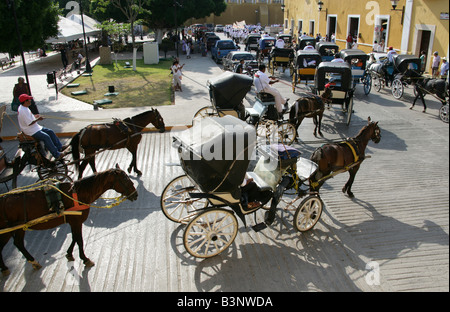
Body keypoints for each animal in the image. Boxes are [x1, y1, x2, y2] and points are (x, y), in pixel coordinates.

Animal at [0, 167, 137, 276]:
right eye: (125, 179)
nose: (136, 194)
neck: (78, 194)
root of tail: (4, 198)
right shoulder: (76, 221)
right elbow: (79, 240)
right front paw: (85, 259)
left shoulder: (73, 221)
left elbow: (74, 238)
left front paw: (69, 254)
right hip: (9, 230)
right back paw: (11, 266)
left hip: (17, 228)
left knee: (18, 244)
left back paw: (26, 264)